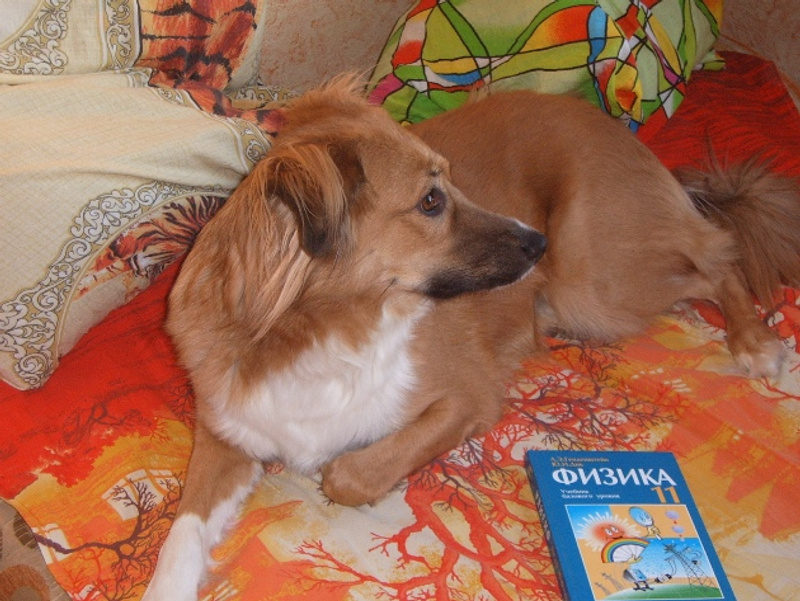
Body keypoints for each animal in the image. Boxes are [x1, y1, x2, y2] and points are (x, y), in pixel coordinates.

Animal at [143, 78, 800, 600]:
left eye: (448, 189)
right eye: (431, 201)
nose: (536, 243)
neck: (312, 332)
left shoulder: (467, 397)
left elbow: (349, 472)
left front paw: (346, 467)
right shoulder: (228, 434)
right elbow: (181, 535)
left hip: (594, 284)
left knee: (719, 255)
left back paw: (753, 340)